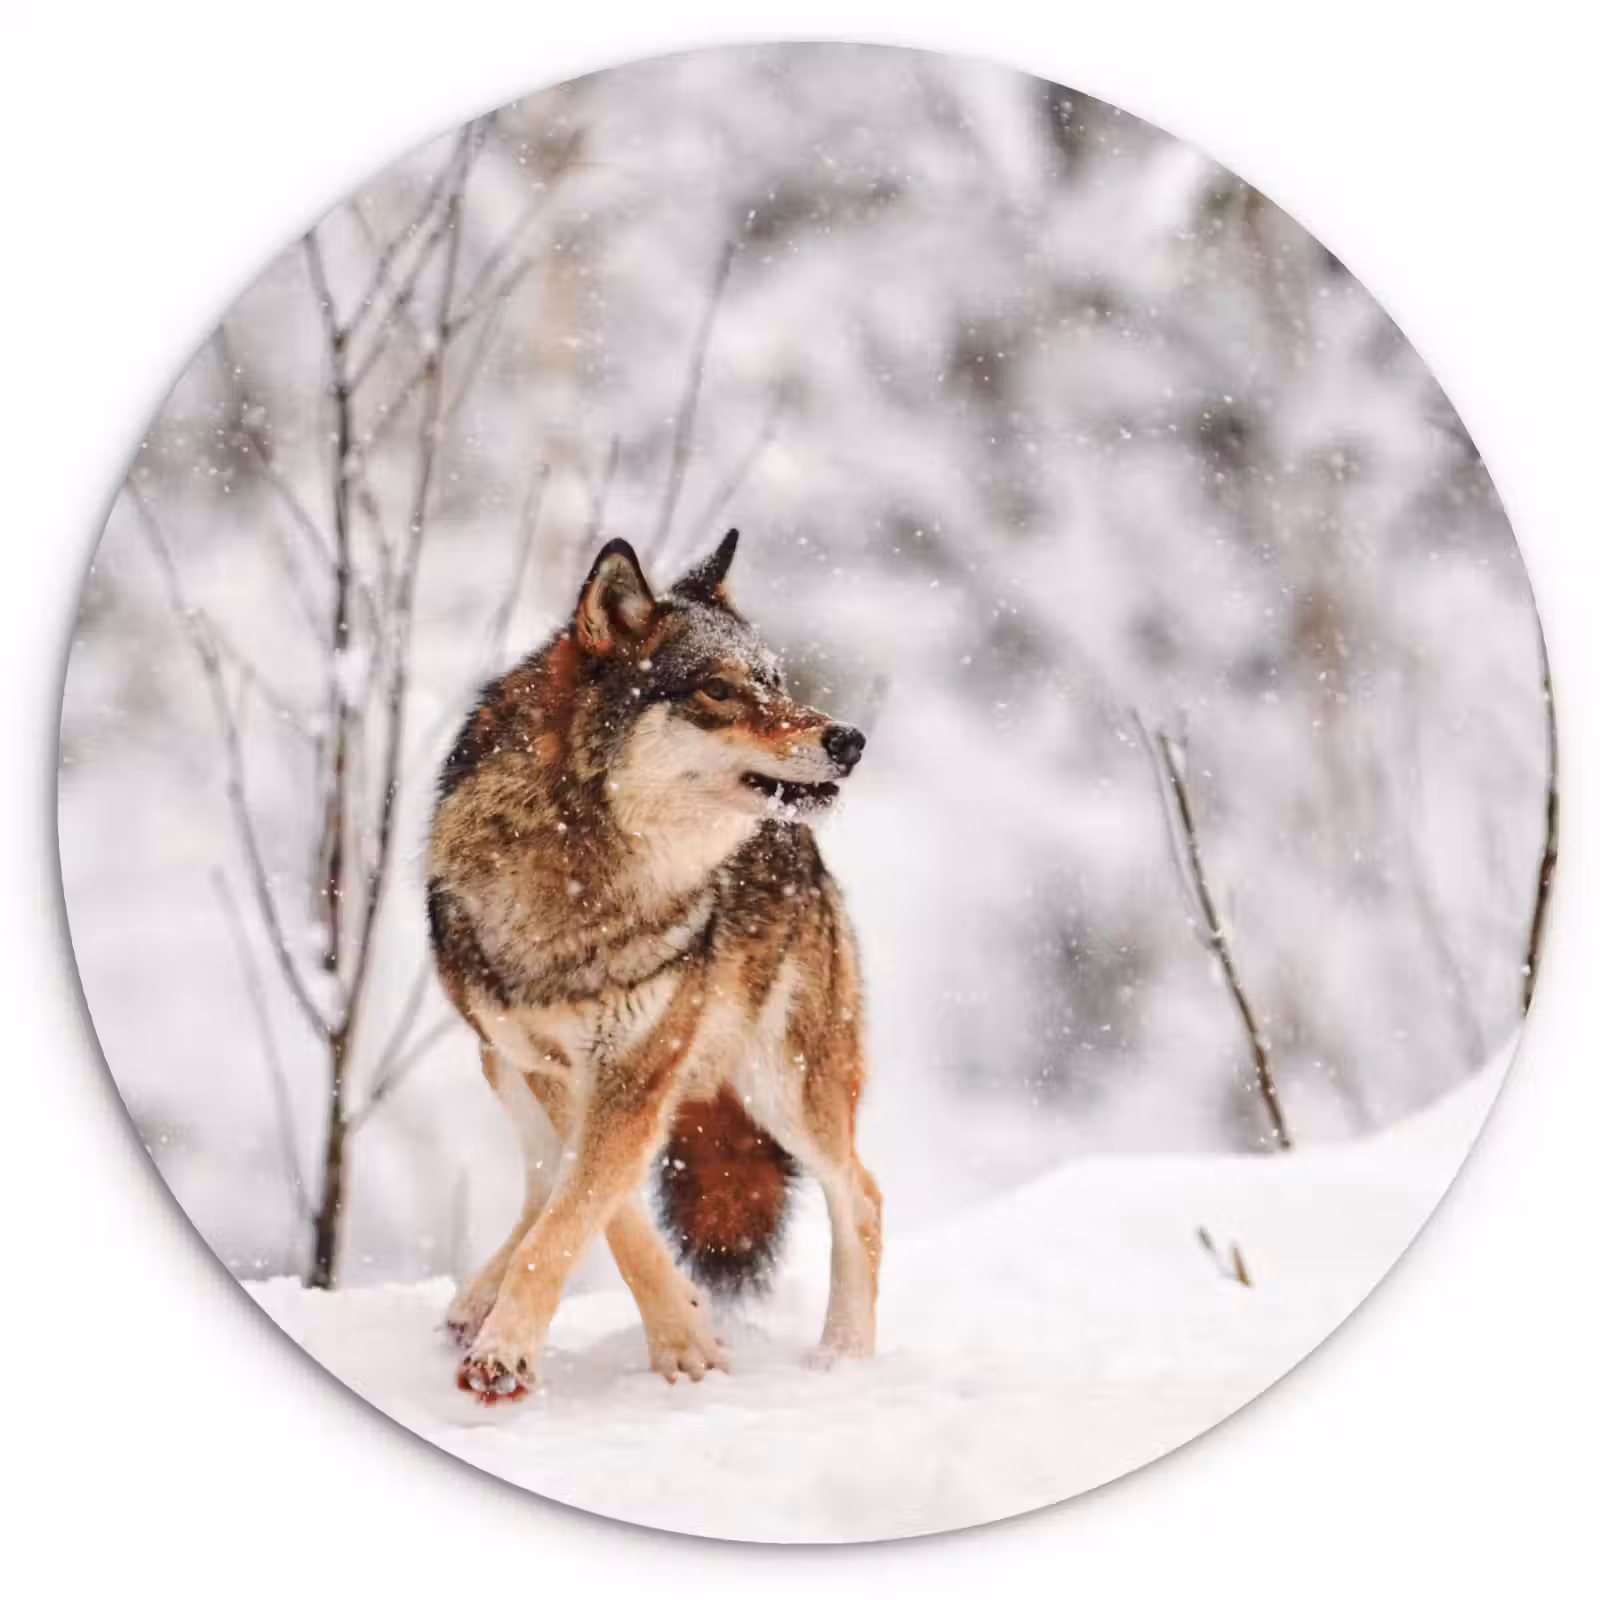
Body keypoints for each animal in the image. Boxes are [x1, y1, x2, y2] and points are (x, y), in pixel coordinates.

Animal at [427, 529, 881, 1401]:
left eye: (776, 682)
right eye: (719, 690)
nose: (849, 739)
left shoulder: (637, 1068)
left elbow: (581, 1213)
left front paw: (513, 1352)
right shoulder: (554, 1066)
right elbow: (599, 1212)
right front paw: (683, 1334)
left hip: (785, 1086)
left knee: (863, 1196)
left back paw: (844, 1357)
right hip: (498, 1062)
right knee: (542, 1178)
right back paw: (474, 1301)